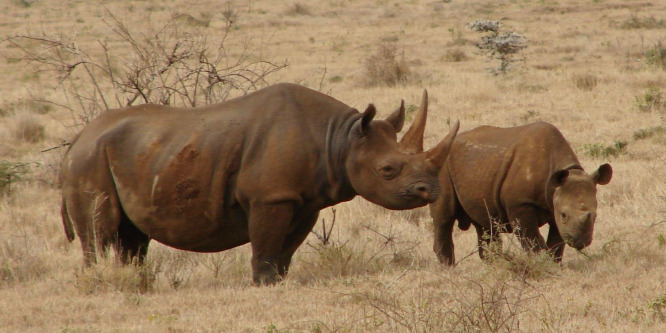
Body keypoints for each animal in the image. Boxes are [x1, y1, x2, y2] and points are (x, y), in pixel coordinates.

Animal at [428, 121, 608, 264]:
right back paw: (448, 268)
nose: (580, 241)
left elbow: (556, 241)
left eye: (596, 216)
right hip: (442, 167)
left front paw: (554, 264)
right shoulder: (520, 203)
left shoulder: (554, 204)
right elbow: (532, 239)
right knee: (444, 218)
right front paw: (541, 263)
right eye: (564, 215)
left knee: (485, 223)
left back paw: (493, 264)